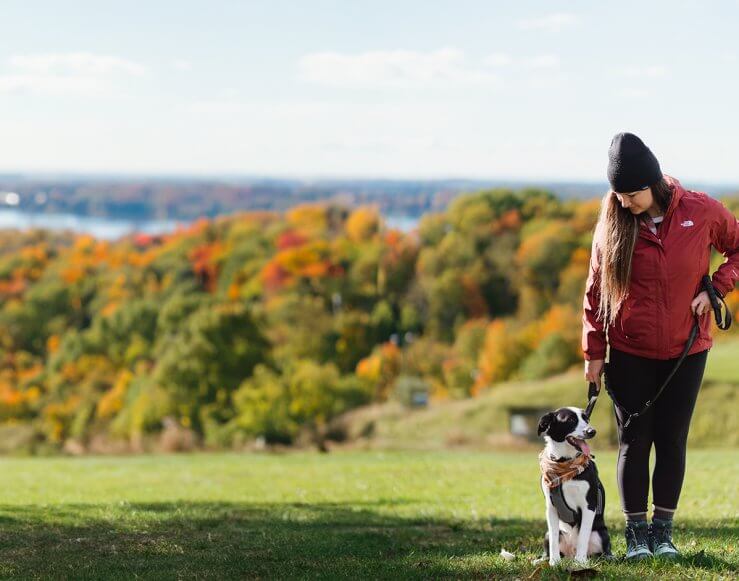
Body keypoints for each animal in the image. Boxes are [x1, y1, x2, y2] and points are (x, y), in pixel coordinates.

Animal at [536, 406, 612, 564]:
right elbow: (553, 540)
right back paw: (544, 560)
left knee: (601, 550)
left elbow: (583, 536)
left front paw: (581, 562)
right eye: (570, 420)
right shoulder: (551, 508)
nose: (592, 431)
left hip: (600, 534)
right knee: (550, 541)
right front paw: (554, 562)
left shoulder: (588, 506)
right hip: (549, 534)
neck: (564, 462)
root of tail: (570, 554)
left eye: (586, 418)